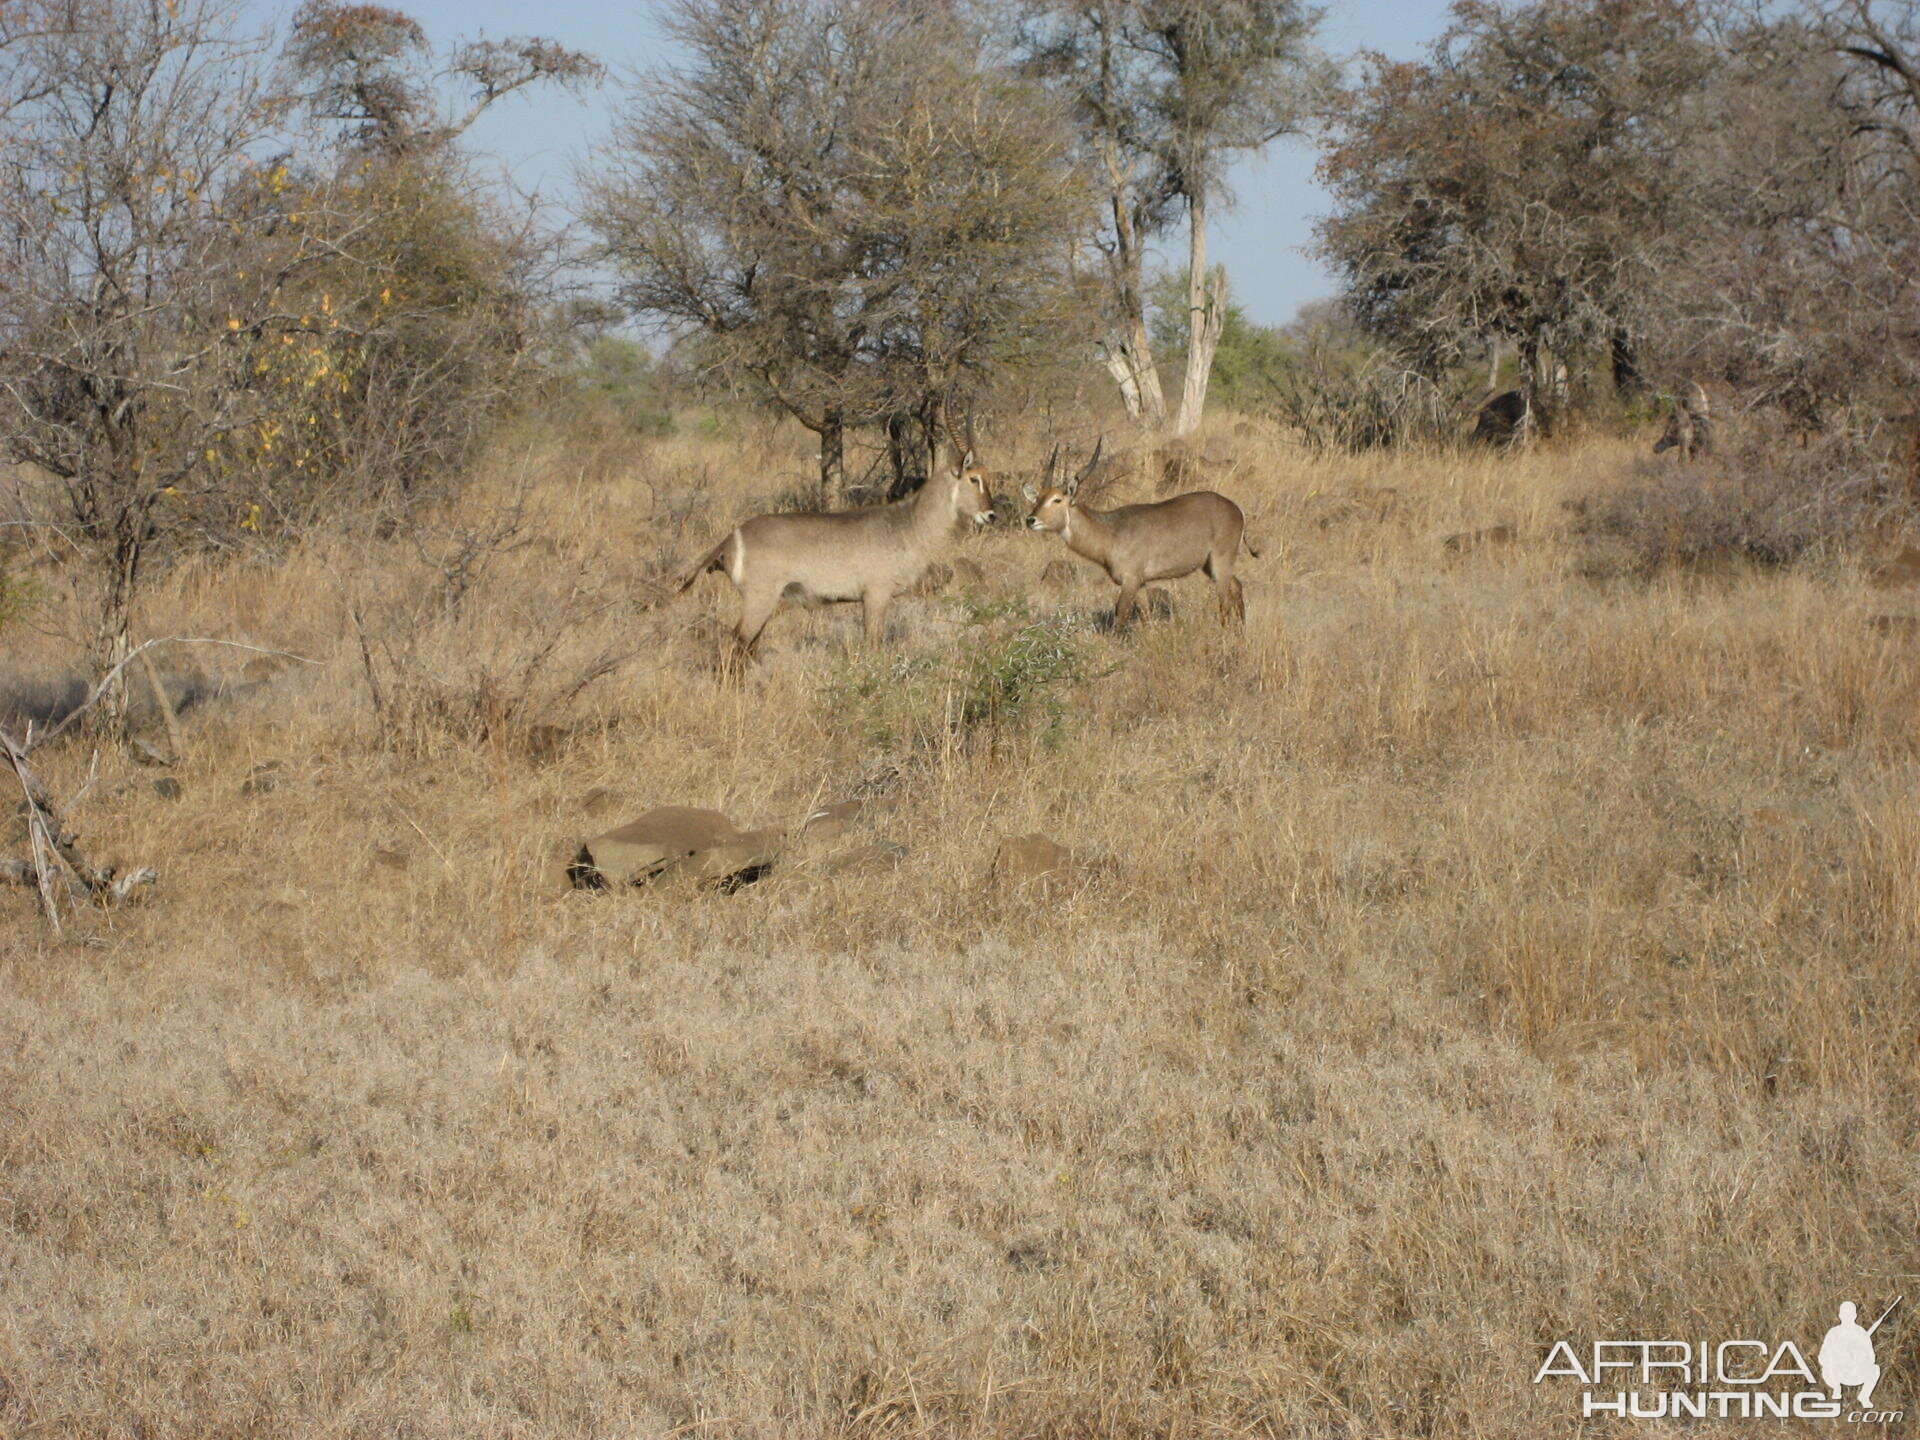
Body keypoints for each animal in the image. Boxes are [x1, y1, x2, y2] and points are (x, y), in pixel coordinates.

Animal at [675, 445, 998, 664]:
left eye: (988, 477)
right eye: (973, 479)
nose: (991, 515)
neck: (907, 524)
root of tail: (732, 537)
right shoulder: (876, 595)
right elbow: (873, 645)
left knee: (747, 647)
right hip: (759, 600)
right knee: (736, 643)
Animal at [1021, 439, 1259, 629]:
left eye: (1057, 499)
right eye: (1038, 498)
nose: (1030, 520)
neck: (1110, 532)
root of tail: (1235, 509)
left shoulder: (1130, 581)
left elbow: (1120, 616)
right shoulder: (1142, 583)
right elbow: (1146, 618)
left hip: (1220, 563)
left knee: (1224, 601)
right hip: (1208, 566)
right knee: (1237, 586)